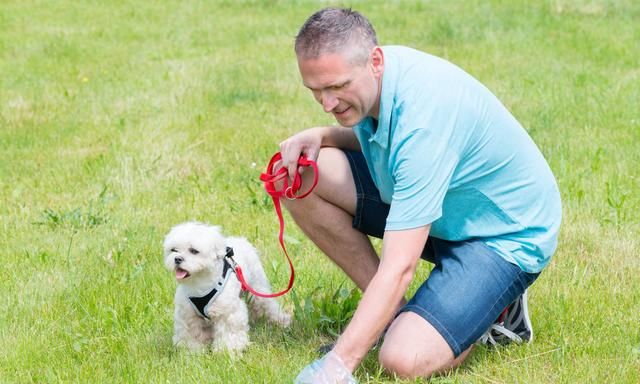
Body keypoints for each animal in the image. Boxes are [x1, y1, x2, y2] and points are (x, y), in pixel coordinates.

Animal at [161, 220, 292, 352]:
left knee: (267, 306)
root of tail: (241, 240)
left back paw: (282, 321)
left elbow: (229, 332)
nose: (177, 259)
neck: (199, 285)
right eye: (174, 250)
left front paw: (226, 351)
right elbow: (192, 335)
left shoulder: (227, 312)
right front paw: (192, 352)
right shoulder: (188, 315)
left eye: (194, 251)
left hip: (257, 288)